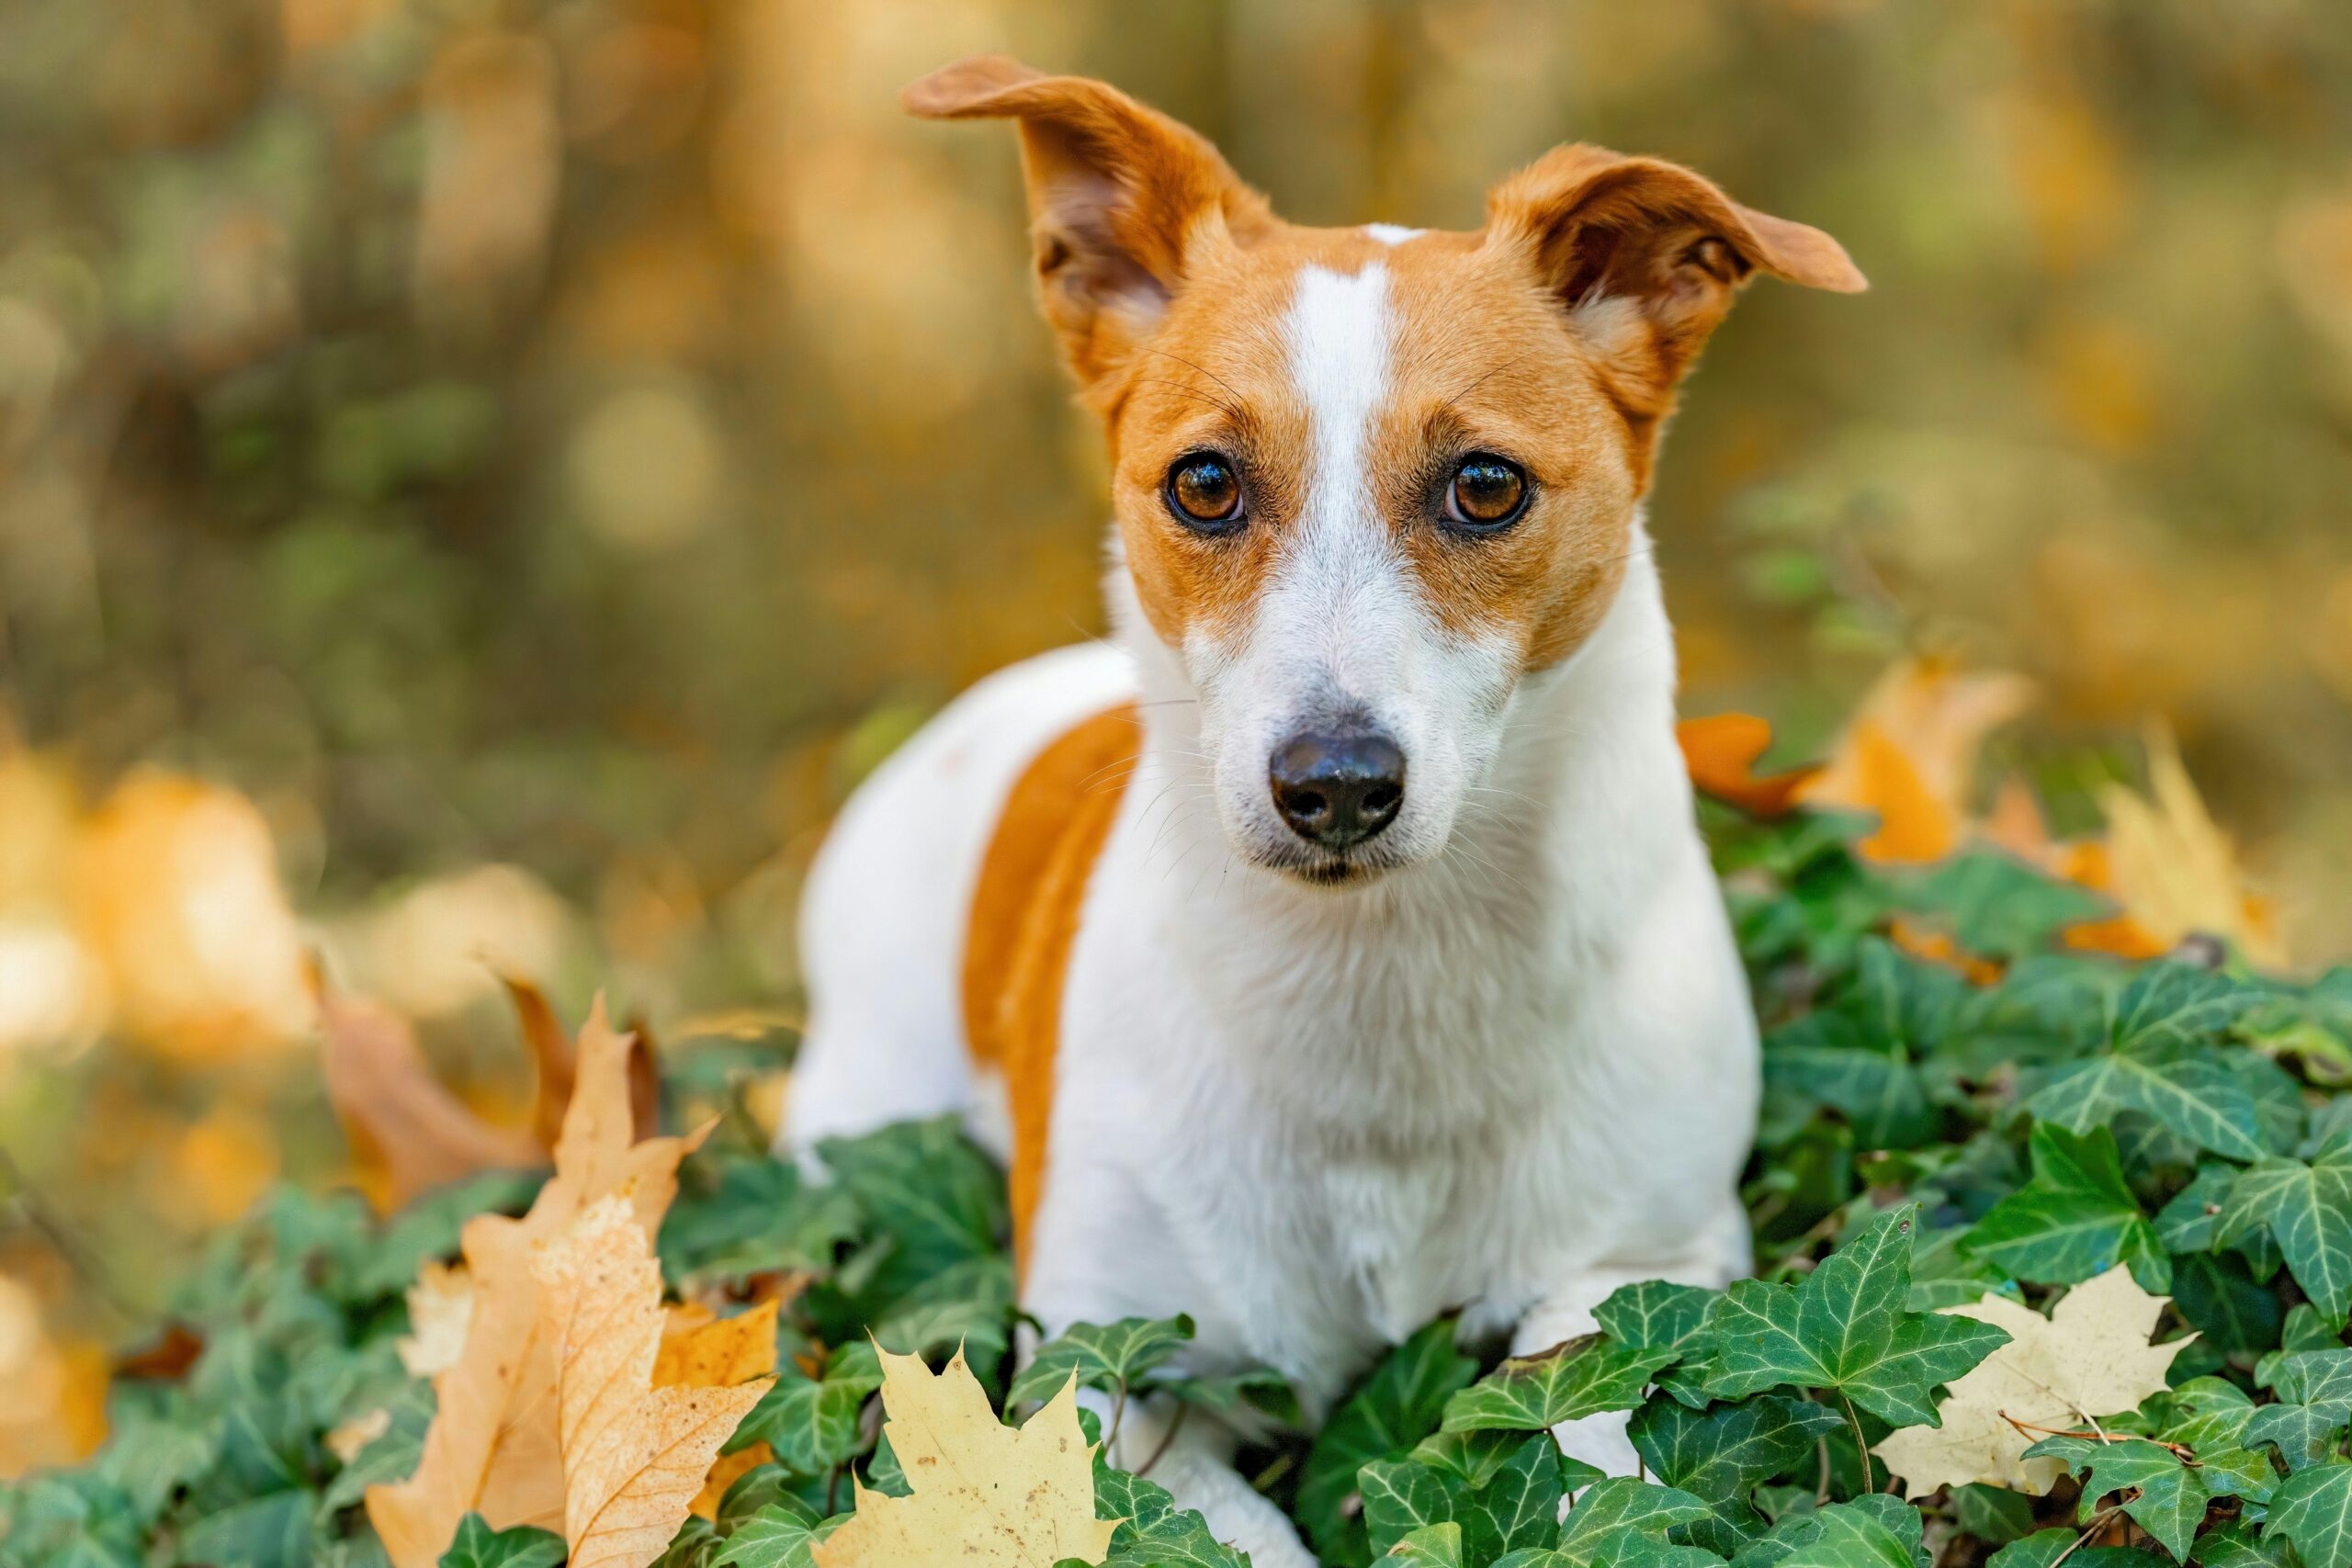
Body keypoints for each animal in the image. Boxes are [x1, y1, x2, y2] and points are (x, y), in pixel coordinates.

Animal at [780, 55, 1862, 1561]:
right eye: (1203, 483)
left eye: (1486, 485)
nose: (1335, 785)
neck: (1379, 982)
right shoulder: (1101, 1378)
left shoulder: (1642, 1269)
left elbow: (1595, 1447)